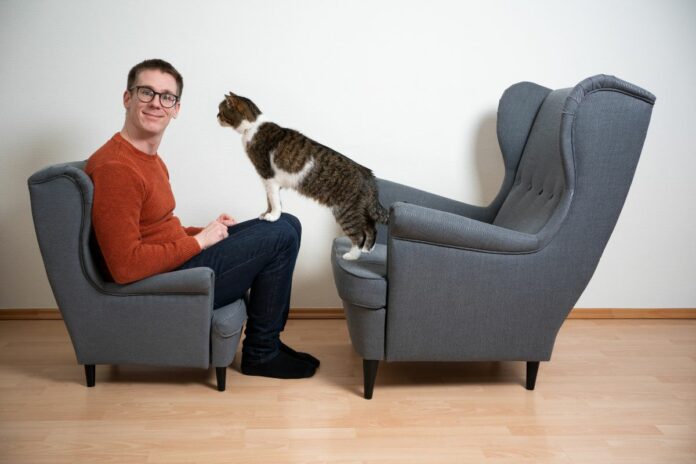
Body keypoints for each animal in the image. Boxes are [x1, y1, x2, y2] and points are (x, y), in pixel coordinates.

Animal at [218, 90, 388, 258]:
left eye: (221, 110)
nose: (216, 116)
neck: (253, 126)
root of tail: (368, 174)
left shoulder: (268, 177)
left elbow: (274, 201)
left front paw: (273, 216)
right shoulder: (268, 182)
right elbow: (270, 201)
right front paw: (266, 214)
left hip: (346, 211)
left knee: (359, 235)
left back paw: (351, 256)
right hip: (359, 210)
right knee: (371, 228)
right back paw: (367, 250)